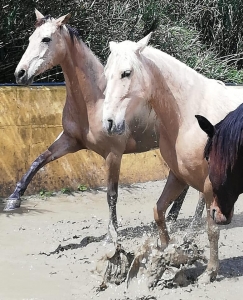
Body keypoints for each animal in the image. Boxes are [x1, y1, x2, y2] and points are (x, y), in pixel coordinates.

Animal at [3, 9, 193, 237]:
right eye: (31, 38)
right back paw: (173, 218)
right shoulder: (69, 141)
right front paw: (13, 200)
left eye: (46, 39)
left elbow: (111, 194)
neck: (95, 101)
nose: (20, 74)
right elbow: (38, 160)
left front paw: (112, 232)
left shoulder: (113, 154)